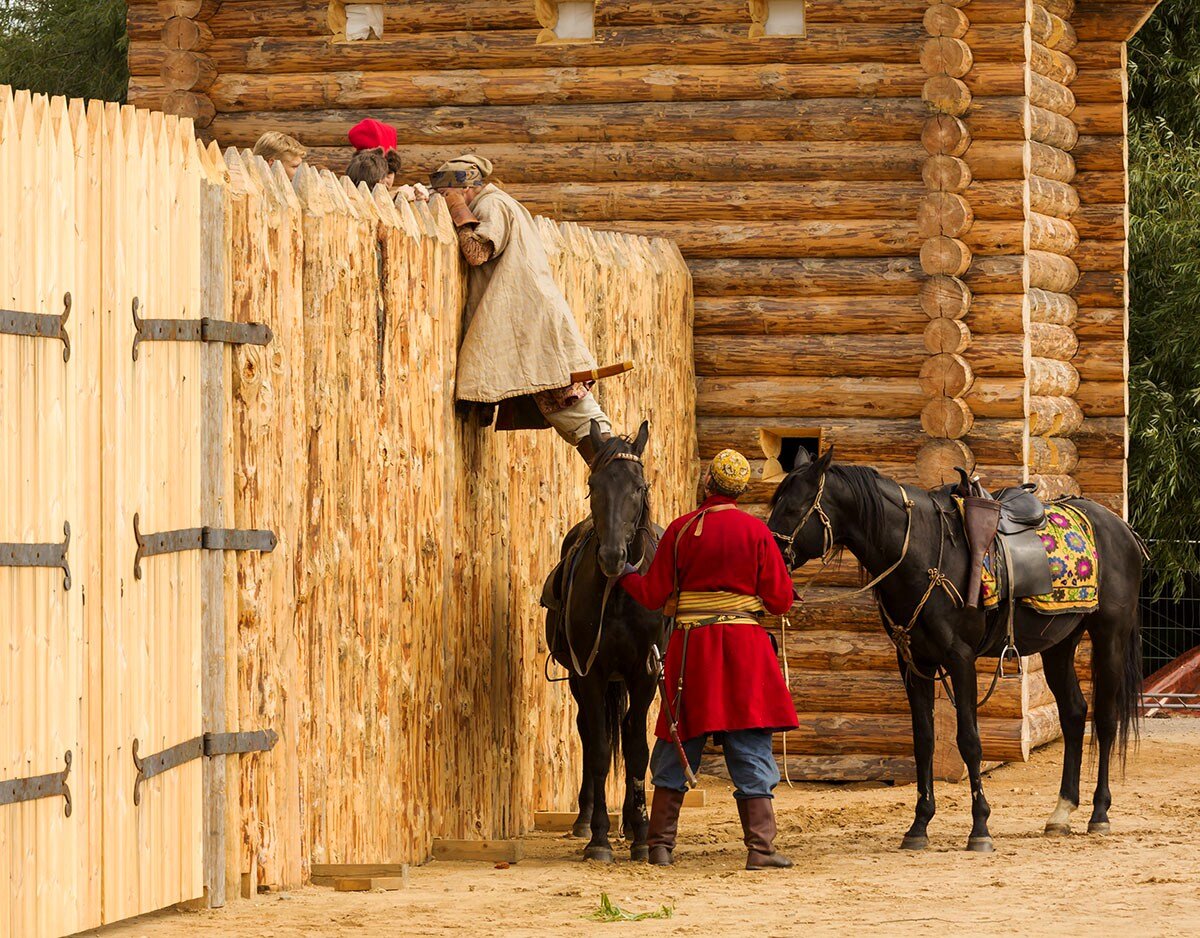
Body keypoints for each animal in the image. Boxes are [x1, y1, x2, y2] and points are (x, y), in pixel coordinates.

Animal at [544, 422, 667, 863]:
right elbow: (598, 748)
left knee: (628, 733)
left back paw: (630, 824)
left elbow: (637, 749)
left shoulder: (644, 675)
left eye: (638, 486)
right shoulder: (591, 671)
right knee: (587, 729)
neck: (618, 592)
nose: (612, 556)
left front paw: (643, 836)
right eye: (594, 484)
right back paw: (586, 819)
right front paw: (598, 838)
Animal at [768, 451, 1142, 854]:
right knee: (1073, 714)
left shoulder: (960, 659)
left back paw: (1099, 814)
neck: (922, 550)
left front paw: (980, 828)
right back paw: (1061, 812)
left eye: (792, 507)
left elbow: (969, 741)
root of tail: (1122, 530)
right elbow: (924, 741)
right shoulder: (913, 662)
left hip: (1109, 636)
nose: (768, 553)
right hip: (1059, 643)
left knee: (1105, 719)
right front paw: (918, 826)